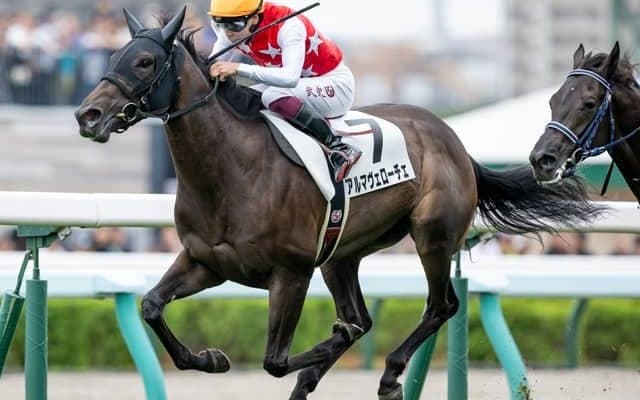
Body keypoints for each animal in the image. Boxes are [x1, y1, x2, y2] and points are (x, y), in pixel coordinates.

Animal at [75, 8, 601, 400]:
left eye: (145, 62)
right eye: (115, 54)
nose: (87, 114)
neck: (230, 172)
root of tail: (452, 138)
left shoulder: (291, 272)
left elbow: (274, 360)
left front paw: (323, 345)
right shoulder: (206, 262)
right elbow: (150, 306)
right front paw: (210, 357)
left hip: (431, 236)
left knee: (441, 305)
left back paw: (387, 373)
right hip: (341, 254)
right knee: (364, 317)